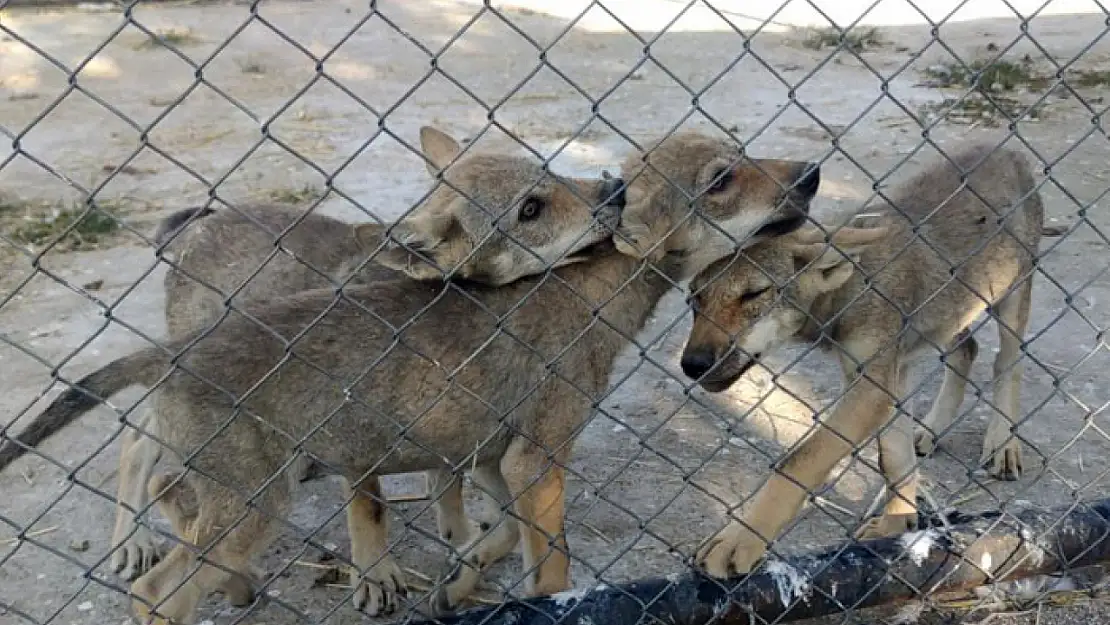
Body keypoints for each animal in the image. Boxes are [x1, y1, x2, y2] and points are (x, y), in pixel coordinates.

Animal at [683, 140, 1047, 577]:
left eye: (754, 294)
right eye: (694, 300)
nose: (691, 364)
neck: (851, 289)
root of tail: (1005, 149)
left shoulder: (872, 387)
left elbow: (798, 460)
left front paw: (742, 537)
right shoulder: (882, 381)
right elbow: (894, 459)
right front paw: (898, 524)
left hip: (1010, 301)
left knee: (1006, 364)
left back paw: (1003, 443)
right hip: (949, 313)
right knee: (968, 350)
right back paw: (931, 429)